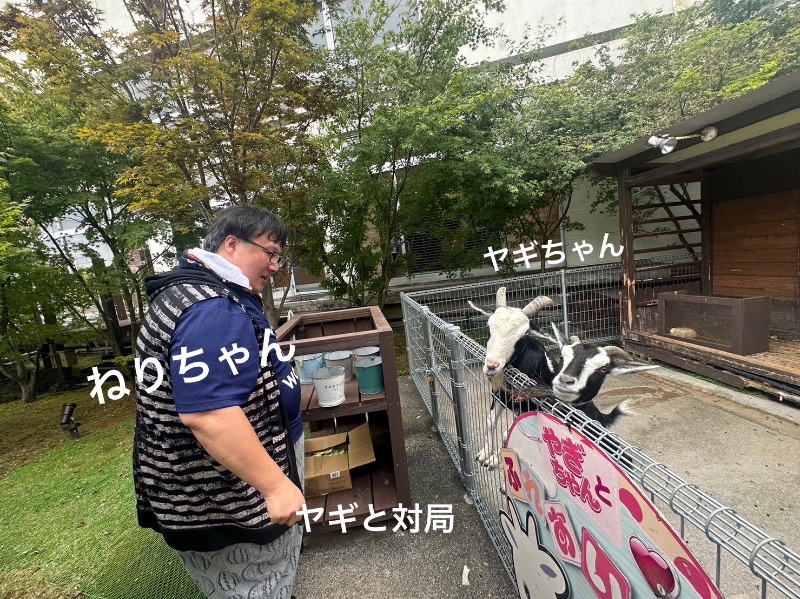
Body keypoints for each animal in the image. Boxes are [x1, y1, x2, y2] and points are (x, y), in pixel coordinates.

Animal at [468, 288, 656, 472]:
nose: (492, 366)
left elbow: (509, 432)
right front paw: (484, 455)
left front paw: (493, 459)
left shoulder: (532, 406)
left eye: (525, 333)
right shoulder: (500, 395)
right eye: (489, 326)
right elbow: (490, 422)